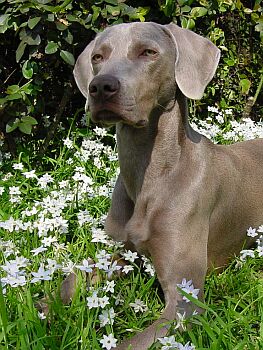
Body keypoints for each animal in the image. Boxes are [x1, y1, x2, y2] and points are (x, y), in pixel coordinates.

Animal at [73, 22, 262, 350]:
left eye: (148, 52)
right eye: (98, 57)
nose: (101, 86)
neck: (150, 176)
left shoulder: (185, 300)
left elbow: (130, 344)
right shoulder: (118, 253)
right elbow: (70, 280)